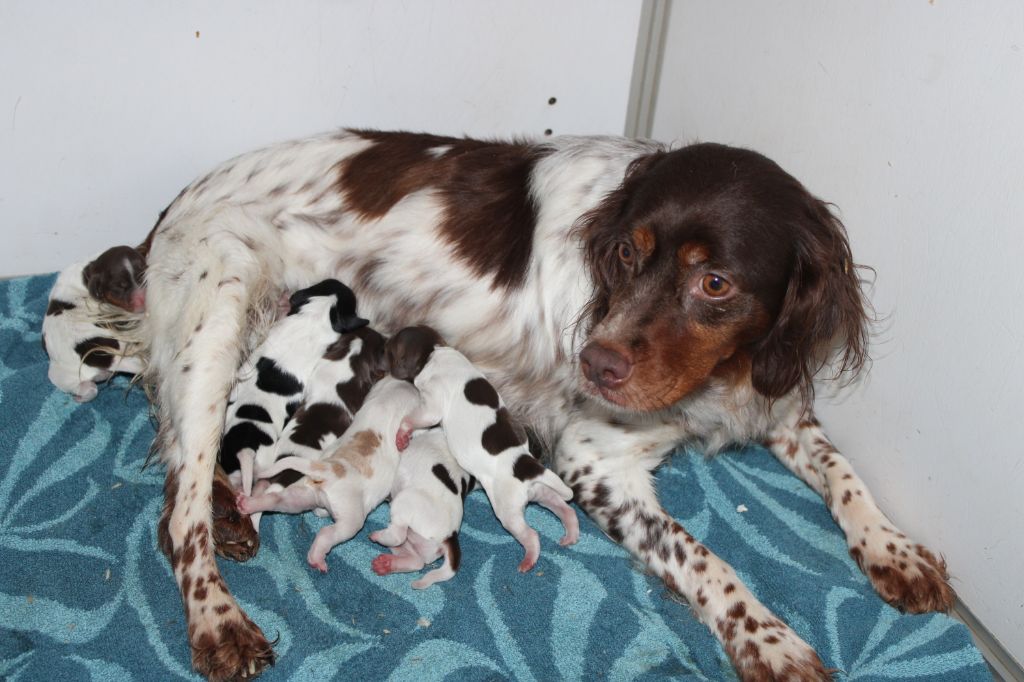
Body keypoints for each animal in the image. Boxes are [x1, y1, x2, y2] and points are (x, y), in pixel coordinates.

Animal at [236, 374, 419, 569]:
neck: (385, 403)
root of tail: (327, 469)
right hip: (350, 520)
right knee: (327, 533)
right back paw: (317, 558)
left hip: (299, 496)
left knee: (274, 499)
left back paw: (246, 504)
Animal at [372, 428, 475, 585]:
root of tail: (450, 536)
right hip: (416, 542)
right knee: (416, 561)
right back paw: (388, 564)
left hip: (405, 500)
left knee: (398, 536)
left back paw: (379, 537)